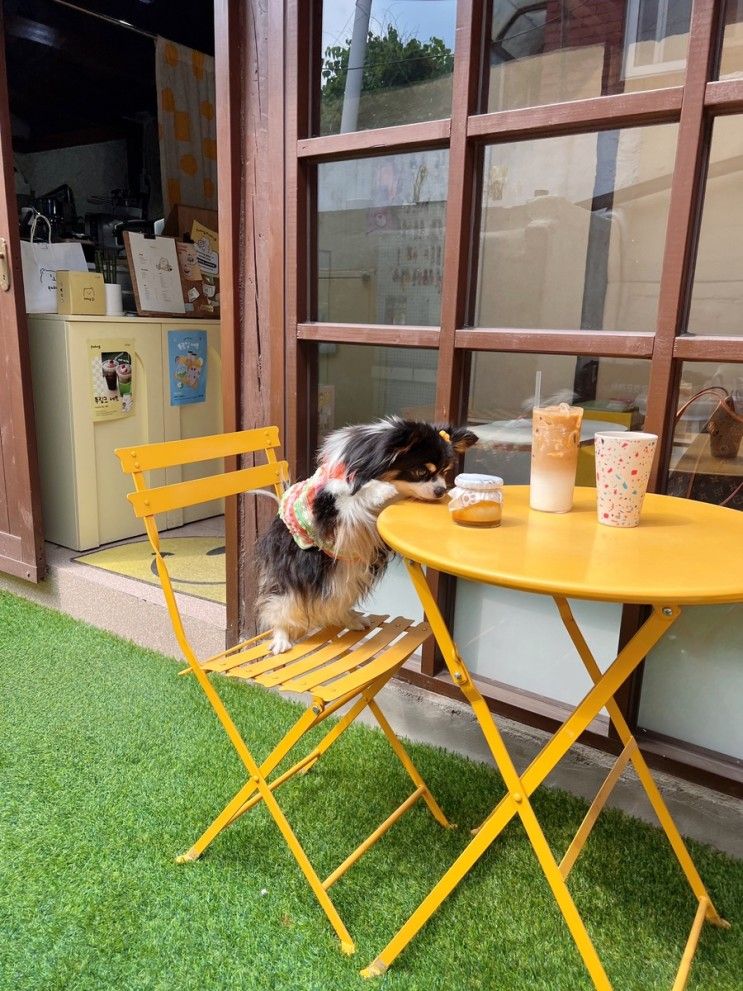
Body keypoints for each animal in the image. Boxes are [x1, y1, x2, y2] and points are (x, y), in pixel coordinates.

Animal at [256, 420, 476, 660]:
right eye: (420, 471)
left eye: (445, 472)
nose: (440, 490)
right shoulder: (327, 508)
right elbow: (355, 497)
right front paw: (382, 490)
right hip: (296, 577)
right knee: (281, 604)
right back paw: (281, 638)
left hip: (349, 578)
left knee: (336, 603)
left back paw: (350, 619)